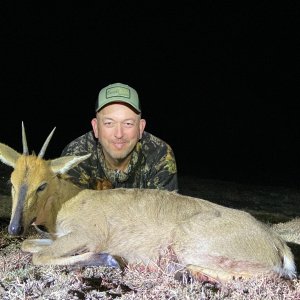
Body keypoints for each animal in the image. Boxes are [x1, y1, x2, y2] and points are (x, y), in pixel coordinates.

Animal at [0, 123, 296, 282]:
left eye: (42, 184)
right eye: (10, 181)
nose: (14, 228)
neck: (68, 201)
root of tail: (279, 244)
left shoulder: (88, 234)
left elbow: (39, 256)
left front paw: (111, 259)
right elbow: (30, 246)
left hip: (189, 242)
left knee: (273, 274)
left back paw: (177, 270)